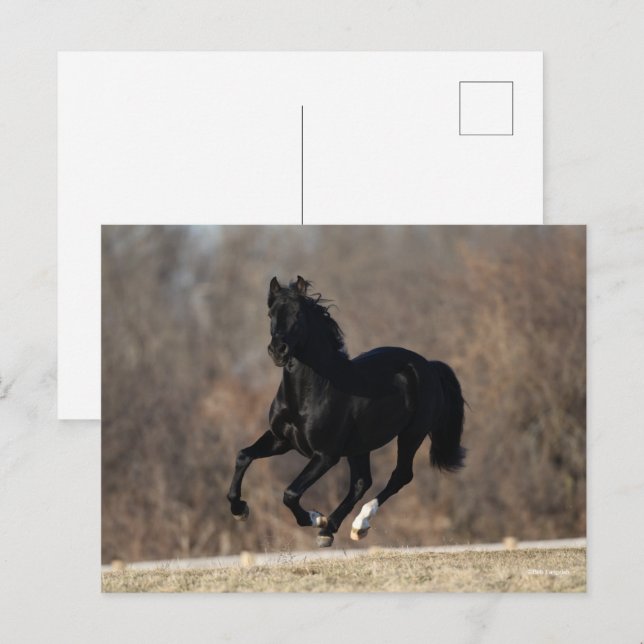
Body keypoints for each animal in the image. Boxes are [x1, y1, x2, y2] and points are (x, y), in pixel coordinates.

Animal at [227, 276, 466, 547]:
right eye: (270, 313)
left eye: (298, 313)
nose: (278, 350)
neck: (309, 394)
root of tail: (428, 366)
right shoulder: (281, 440)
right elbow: (243, 456)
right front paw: (239, 509)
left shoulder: (325, 455)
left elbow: (290, 493)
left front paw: (314, 517)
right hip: (360, 446)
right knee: (362, 482)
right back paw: (329, 529)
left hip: (411, 435)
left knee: (400, 475)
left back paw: (357, 524)